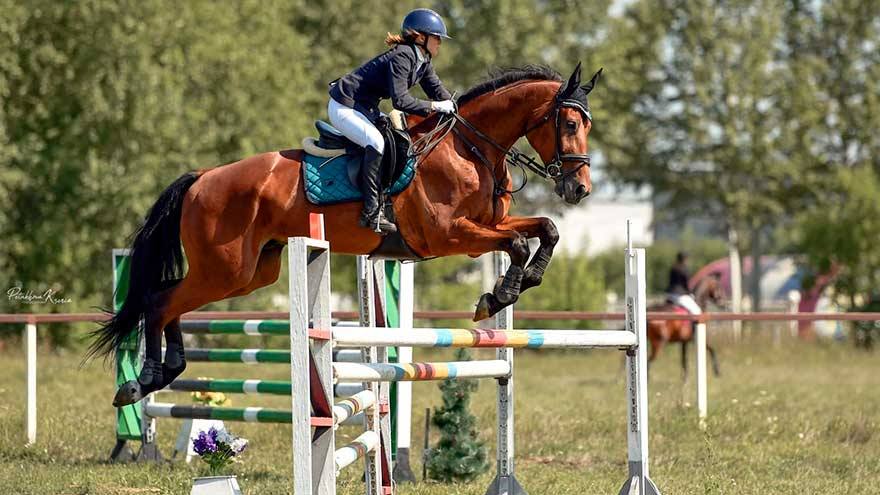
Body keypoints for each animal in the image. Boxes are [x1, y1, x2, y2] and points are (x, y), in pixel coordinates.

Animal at [93, 63, 600, 406]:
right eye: (571, 123)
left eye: (587, 125)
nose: (579, 189)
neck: (470, 147)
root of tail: (202, 178)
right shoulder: (449, 236)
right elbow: (516, 243)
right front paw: (497, 297)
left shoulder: (485, 227)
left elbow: (545, 230)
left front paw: (517, 284)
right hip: (225, 269)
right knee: (160, 301)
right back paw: (143, 380)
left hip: (249, 273)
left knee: (168, 298)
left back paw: (164, 373)